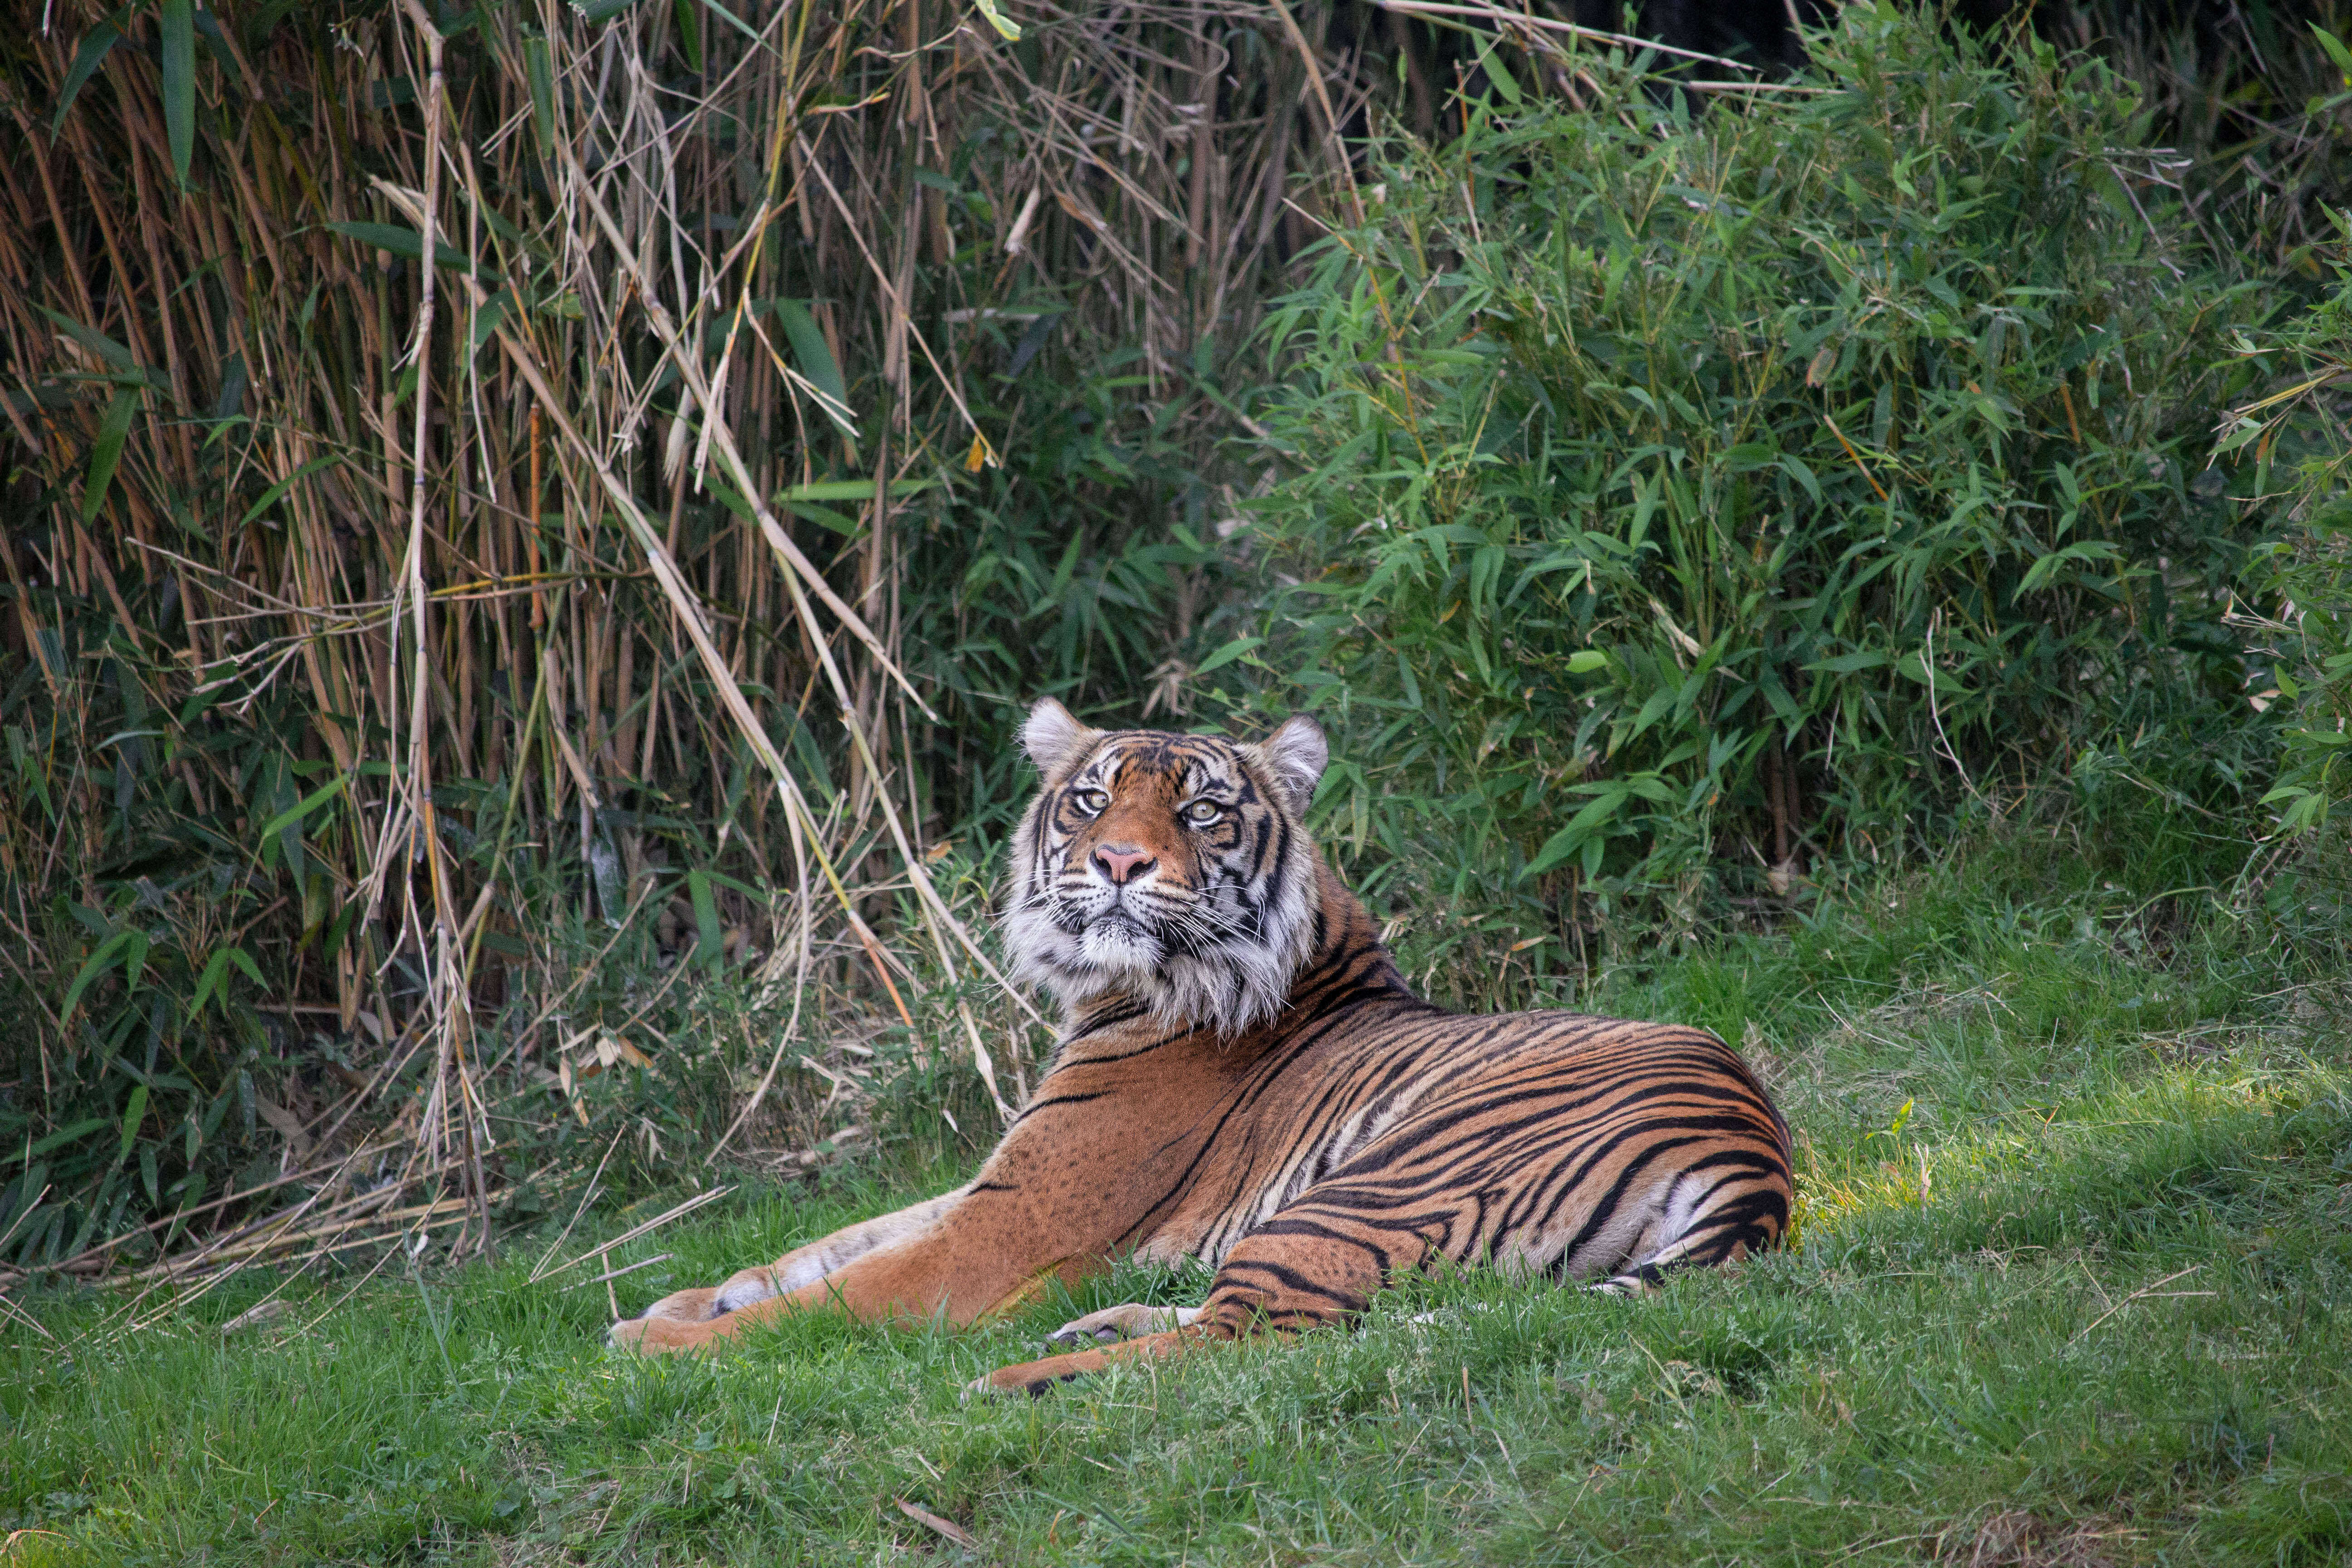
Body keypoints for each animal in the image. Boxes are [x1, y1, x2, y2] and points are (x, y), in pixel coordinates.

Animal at [611, 701, 1797, 1401]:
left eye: (1201, 810)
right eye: (1093, 798)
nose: (1119, 862)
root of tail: (1755, 1154)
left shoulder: (1004, 1226)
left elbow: (843, 1292)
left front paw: (652, 1343)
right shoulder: (989, 1187)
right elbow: (829, 1244)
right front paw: (681, 1301)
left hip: (1372, 1186)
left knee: (1247, 1339)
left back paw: (1018, 1378)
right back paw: (1083, 1326)